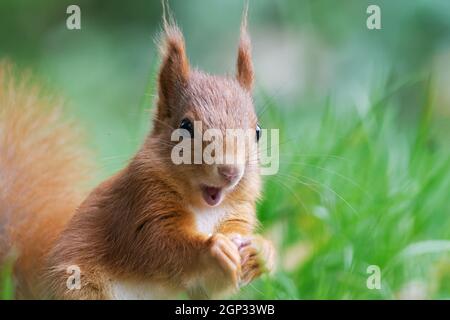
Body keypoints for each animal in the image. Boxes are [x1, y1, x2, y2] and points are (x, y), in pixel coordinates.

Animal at [0, 10, 274, 300]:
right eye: (185, 126)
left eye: (258, 131)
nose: (230, 171)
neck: (205, 210)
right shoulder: (140, 204)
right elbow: (159, 247)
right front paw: (213, 248)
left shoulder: (236, 215)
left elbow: (210, 286)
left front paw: (263, 252)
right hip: (79, 287)